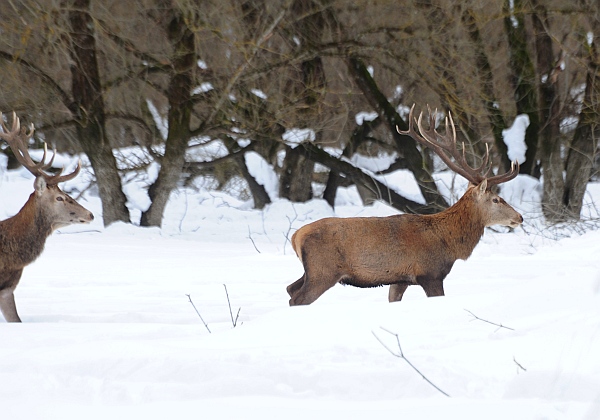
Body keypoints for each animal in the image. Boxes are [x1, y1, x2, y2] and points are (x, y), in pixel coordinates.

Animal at [288, 106, 524, 306]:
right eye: (496, 199)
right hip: (323, 271)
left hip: (311, 272)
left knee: (290, 289)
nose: (520, 217)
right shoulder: (430, 273)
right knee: (297, 299)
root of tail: (296, 236)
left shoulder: (400, 279)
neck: (448, 242)